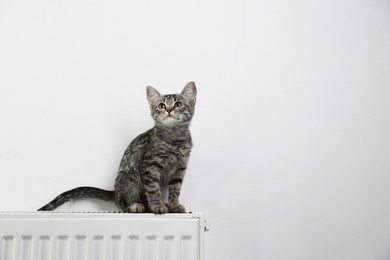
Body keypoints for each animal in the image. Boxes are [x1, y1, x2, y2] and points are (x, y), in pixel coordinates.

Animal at [38, 82, 197, 214]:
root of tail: (115, 193)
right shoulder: (150, 166)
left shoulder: (181, 167)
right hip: (127, 178)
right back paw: (136, 206)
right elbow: (153, 189)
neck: (174, 138)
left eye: (178, 104)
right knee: (125, 203)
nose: (169, 110)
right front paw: (157, 205)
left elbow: (175, 189)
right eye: (161, 106)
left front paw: (174, 205)